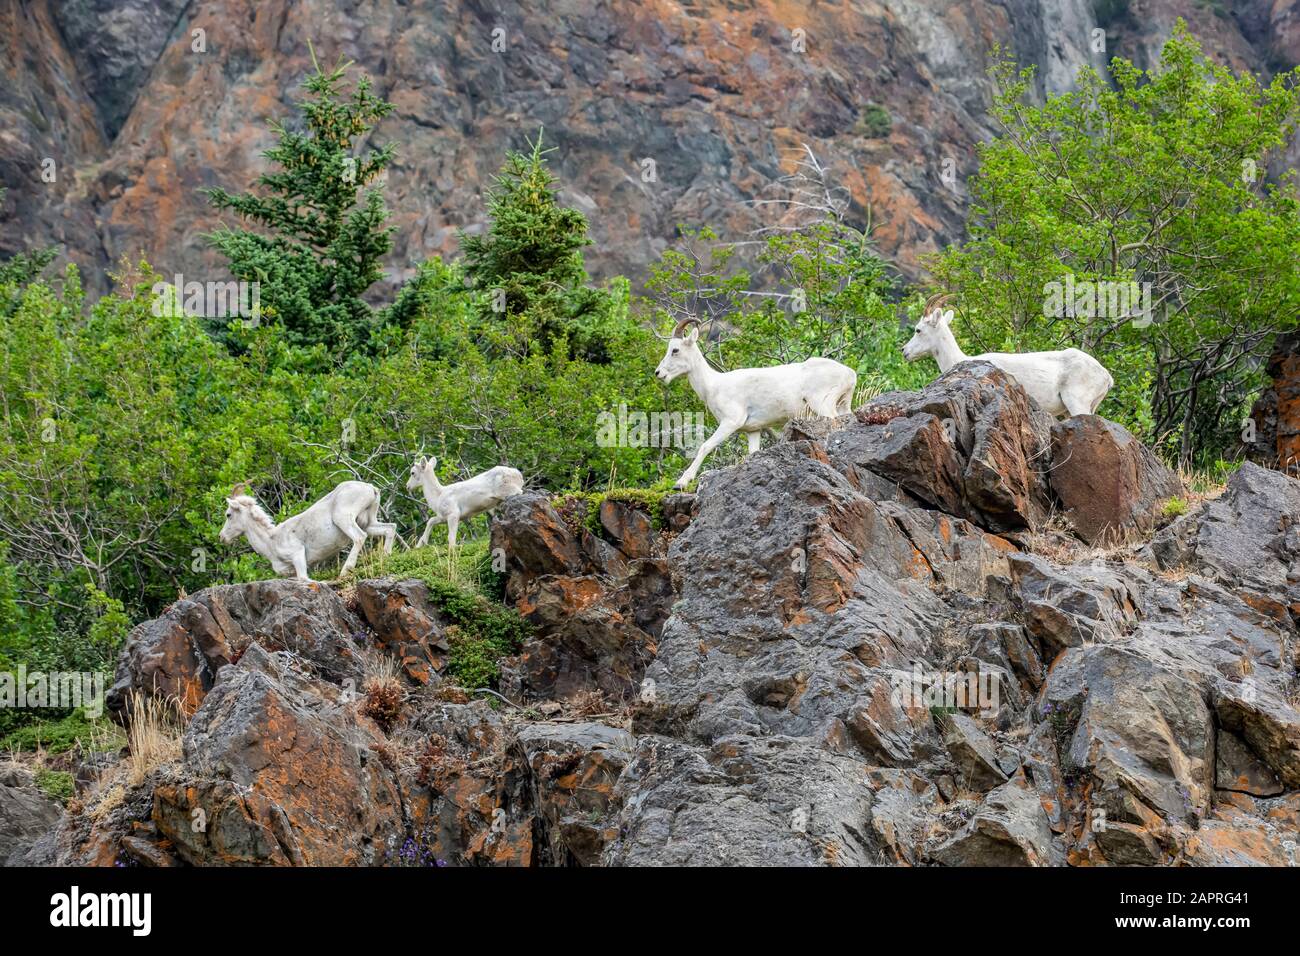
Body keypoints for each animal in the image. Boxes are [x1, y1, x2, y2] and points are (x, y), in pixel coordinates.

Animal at [218, 480, 395, 579]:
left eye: (228, 514)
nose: (221, 537)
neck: (271, 542)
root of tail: (371, 489)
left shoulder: (298, 556)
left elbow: (304, 579)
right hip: (369, 521)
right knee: (390, 528)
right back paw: (386, 557)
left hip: (344, 518)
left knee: (359, 537)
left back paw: (344, 572)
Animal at [654, 318, 857, 488]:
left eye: (675, 350)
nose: (658, 373)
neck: (713, 385)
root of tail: (850, 373)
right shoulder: (753, 431)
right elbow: (752, 453)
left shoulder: (730, 422)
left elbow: (705, 446)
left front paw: (681, 482)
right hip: (842, 405)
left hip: (822, 405)